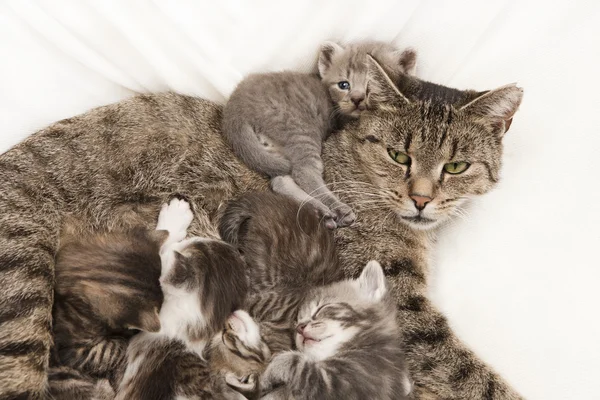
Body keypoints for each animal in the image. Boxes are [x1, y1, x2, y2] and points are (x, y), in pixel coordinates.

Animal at [221, 40, 418, 230]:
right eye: (344, 85)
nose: (357, 99)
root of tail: (235, 107)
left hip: (271, 150)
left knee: (280, 180)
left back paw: (321, 212)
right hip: (301, 130)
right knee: (304, 172)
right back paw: (336, 209)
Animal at [260, 260, 410, 400]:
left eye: (322, 308)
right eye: (298, 320)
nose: (299, 328)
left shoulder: (344, 384)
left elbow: (300, 366)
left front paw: (269, 372)